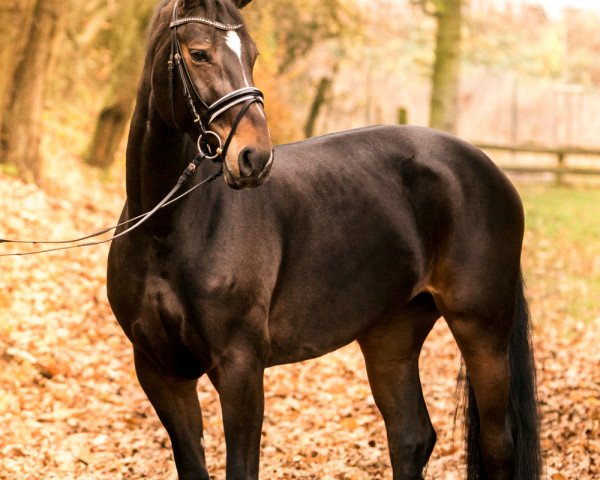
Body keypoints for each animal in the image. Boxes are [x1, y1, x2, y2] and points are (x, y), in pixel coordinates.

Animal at [105, 0, 540, 480]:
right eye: (199, 53)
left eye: (252, 54)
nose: (255, 157)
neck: (167, 229)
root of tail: (489, 169)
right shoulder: (161, 373)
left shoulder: (240, 369)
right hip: (391, 334)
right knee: (410, 437)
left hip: (481, 328)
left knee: (499, 445)